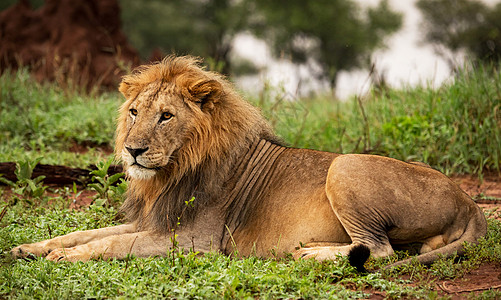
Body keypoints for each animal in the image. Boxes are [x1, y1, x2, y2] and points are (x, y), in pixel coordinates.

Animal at [11, 55, 486, 270]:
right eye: (133, 112)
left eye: (165, 116)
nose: (133, 150)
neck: (171, 172)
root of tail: (471, 203)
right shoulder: (151, 222)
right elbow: (86, 233)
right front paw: (30, 248)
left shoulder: (193, 242)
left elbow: (108, 245)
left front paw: (59, 259)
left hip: (345, 166)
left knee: (380, 250)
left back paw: (312, 253)